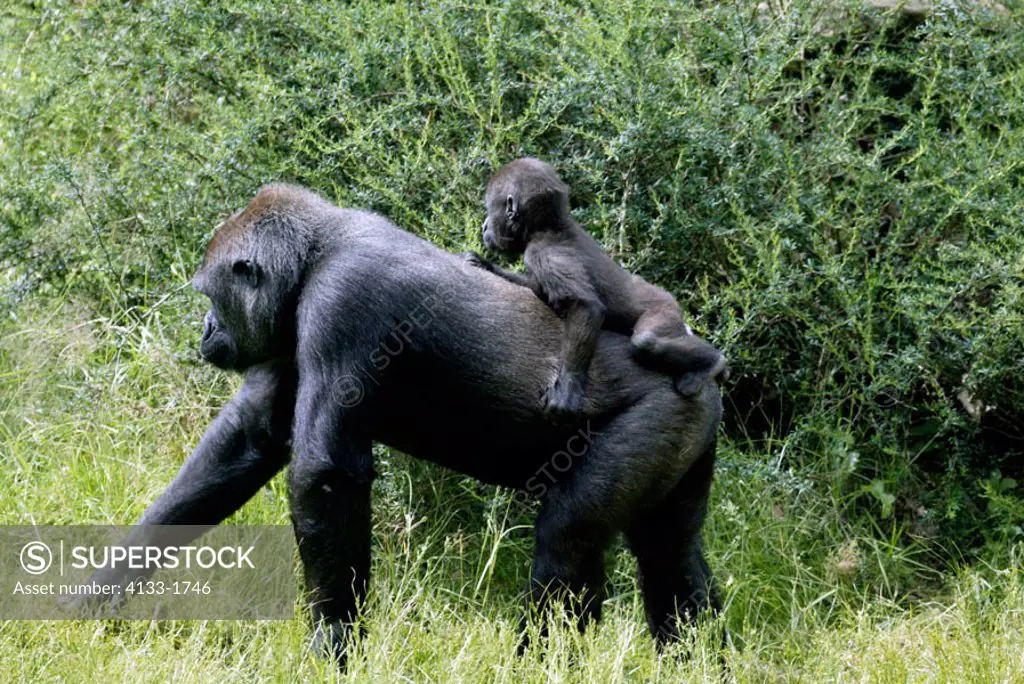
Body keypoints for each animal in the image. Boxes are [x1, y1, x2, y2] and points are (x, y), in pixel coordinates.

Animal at [117, 185, 720, 663]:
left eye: (211, 297)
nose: (206, 328)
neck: (317, 251)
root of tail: (707, 374)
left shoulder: (342, 300)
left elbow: (323, 476)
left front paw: (334, 642)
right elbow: (248, 439)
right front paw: (111, 581)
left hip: (660, 410)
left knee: (567, 541)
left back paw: (537, 663)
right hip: (689, 426)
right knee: (670, 553)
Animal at [464, 157, 729, 419]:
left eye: (491, 210)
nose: (484, 226)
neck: (548, 227)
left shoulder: (546, 252)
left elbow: (585, 306)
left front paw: (568, 388)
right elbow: (534, 287)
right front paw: (486, 264)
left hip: (665, 307)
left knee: (648, 341)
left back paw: (713, 362)